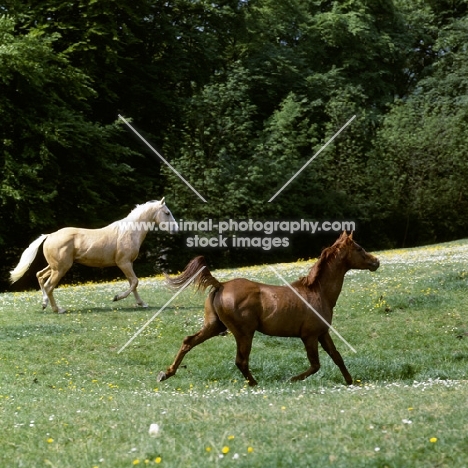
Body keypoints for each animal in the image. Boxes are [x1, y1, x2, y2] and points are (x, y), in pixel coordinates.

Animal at [9, 198, 177, 314]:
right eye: (167, 213)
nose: (175, 229)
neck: (129, 232)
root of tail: (49, 236)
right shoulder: (124, 263)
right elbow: (135, 282)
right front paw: (116, 297)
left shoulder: (128, 264)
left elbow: (133, 283)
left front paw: (142, 303)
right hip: (61, 268)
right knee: (49, 286)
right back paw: (59, 310)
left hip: (54, 266)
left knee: (40, 276)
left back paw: (44, 304)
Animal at [159, 232, 378, 386]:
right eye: (359, 248)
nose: (376, 261)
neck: (318, 292)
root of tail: (221, 285)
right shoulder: (309, 335)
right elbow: (315, 364)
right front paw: (290, 379)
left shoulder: (322, 333)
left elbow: (336, 356)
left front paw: (350, 381)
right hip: (244, 332)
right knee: (241, 361)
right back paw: (255, 384)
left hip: (215, 326)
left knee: (189, 341)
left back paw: (166, 373)